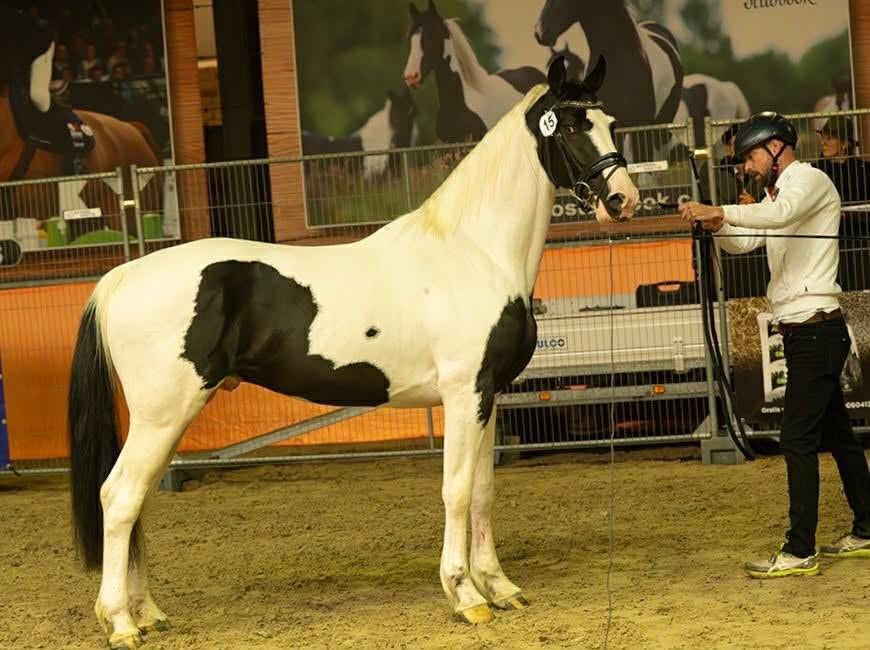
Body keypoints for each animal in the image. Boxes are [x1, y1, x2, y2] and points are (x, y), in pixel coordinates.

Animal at [67, 55, 638, 648]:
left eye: (608, 121)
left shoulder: (488, 396)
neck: (474, 252)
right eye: (569, 126)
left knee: (137, 502)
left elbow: (482, 492)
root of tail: (123, 275)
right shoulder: (463, 395)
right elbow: (456, 491)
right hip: (162, 414)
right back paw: (121, 622)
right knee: (120, 497)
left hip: (164, 419)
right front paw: (466, 596)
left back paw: (147, 612)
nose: (623, 200)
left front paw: (501, 588)